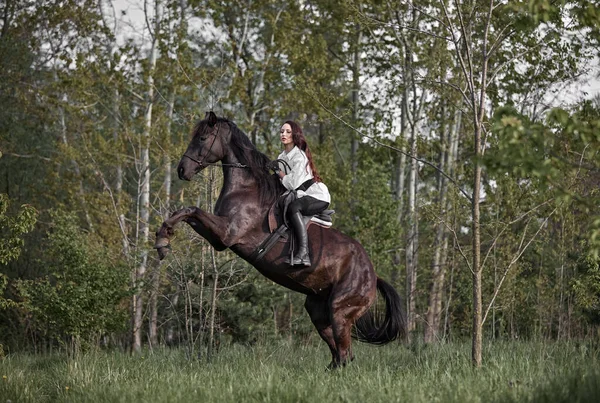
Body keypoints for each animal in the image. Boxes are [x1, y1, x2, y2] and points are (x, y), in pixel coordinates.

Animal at [155, 112, 408, 368]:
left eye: (203, 138)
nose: (182, 170)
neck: (246, 188)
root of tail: (373, 275)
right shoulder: (219, 239)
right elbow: (187, 212)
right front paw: (163, 237)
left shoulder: (226, 233)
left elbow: (191, 209)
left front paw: (162, 241)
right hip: (318, 308)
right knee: (339, 354)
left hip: (340, 310)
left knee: (345, 354)